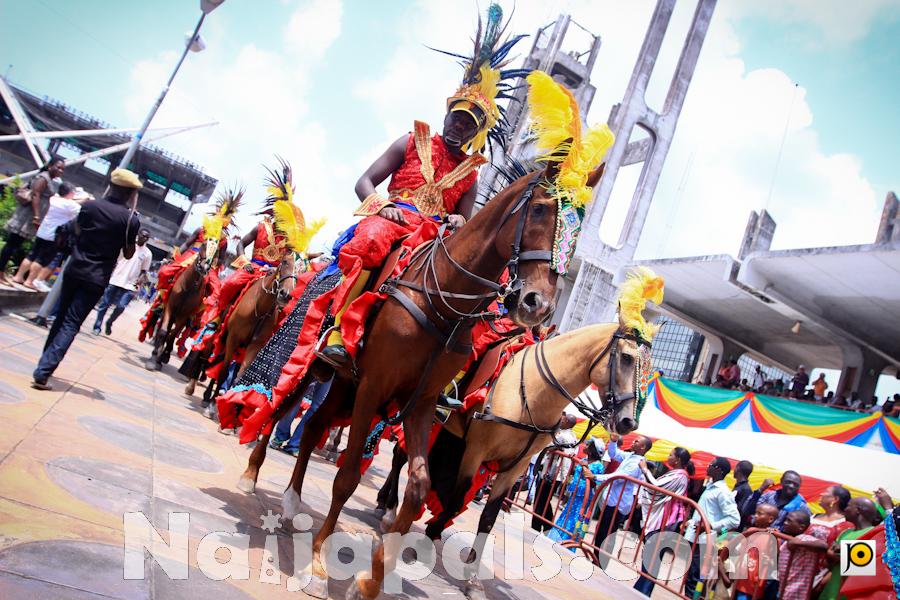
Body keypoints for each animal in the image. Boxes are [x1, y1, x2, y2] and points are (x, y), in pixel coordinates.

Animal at [144, 238, 216, 370]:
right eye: (204, 245)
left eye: (216, 250)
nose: (204, 267)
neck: (189, 287)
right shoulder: (170, 307)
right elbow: (163, 331)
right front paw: (153, 359)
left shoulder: (184, 315)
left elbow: (172, 335)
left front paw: (164, 356)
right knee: (163, 328)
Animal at [202, 252, 298, 412]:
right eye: (285, 262)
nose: (286, 294)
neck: (260, 307)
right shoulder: (233, 338)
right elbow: (224, 371)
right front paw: (211, 406)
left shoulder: (254, 345)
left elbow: (239, 376)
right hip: (223, 335)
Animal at [241, 161, 604, 600]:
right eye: (538, 210)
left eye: (576, 235)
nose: (538, 305)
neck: (443, 300)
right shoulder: (376, 385)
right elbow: (346, 479)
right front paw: (316, 565)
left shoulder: (421, 403)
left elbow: (417, 490)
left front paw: (373, 579)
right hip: (316, 364)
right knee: (283, 404)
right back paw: (252, 475)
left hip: (345, 386)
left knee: (312, 426)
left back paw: (294, 502)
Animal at [372, 324, 648, 600]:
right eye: (626, 358)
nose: (628, 423)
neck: (535, 392)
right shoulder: (475, 451)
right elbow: (455, 501)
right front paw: (427, 539)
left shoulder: (516, 467)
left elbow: (488, 518)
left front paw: (473, 580)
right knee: (400, 457)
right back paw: (389, 509)